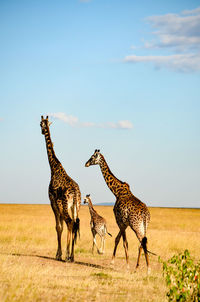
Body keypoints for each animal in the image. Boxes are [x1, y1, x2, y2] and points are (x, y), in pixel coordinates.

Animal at [40, 115, 81, 262]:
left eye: (40, 124)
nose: (42, 131)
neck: (54, 167)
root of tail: (76, 193)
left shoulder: (52, 202)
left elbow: (58, 227)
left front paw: (58, 254)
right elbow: (62, 227)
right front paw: (62, 253)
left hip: (63, 205)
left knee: (70, 223)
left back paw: (68, 255)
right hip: (75, 207)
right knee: (75, 223)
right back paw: (72, 256)